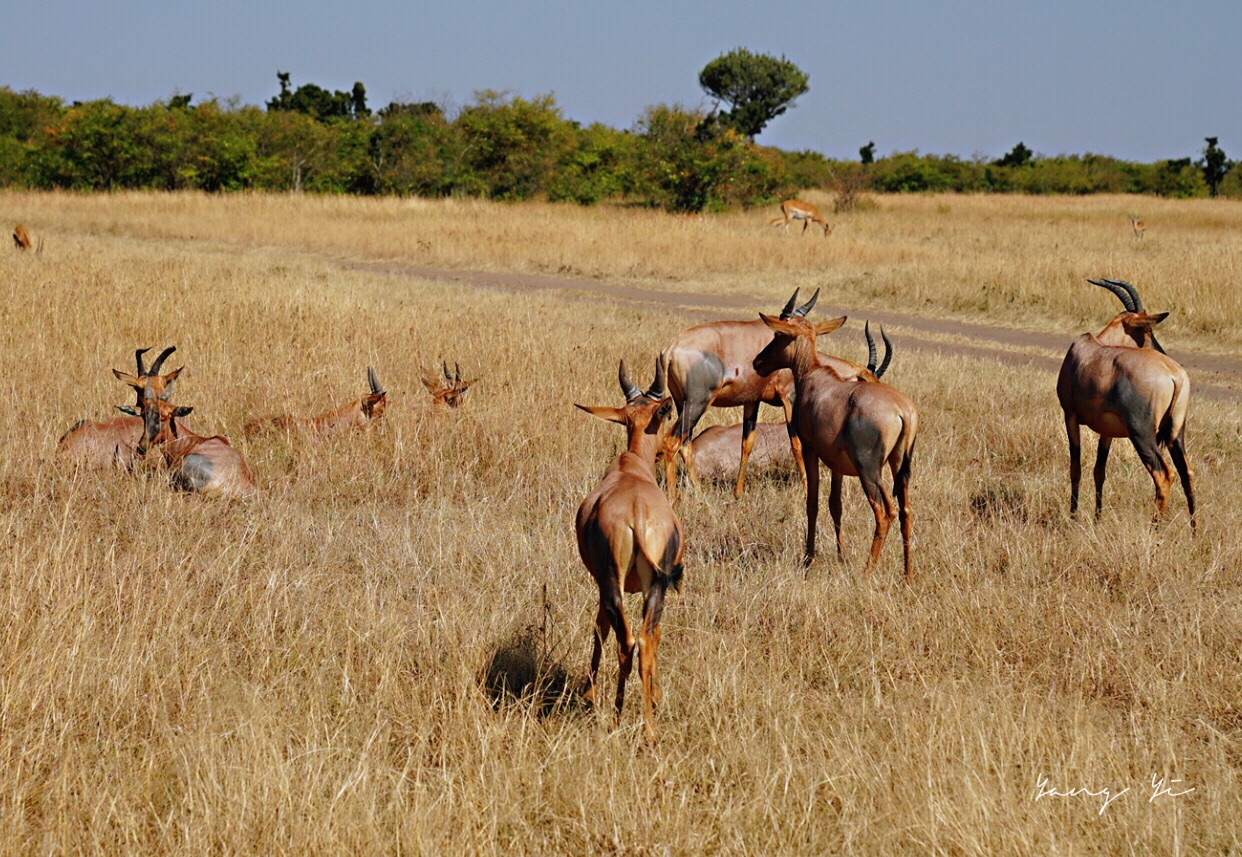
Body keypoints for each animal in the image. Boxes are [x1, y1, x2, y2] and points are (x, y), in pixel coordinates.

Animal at [576, 357, 685, 735]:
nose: (666, 448)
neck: (631, 469)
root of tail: (637, 514)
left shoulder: (602, 585)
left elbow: (599, 629)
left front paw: (589, 694)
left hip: (616, 584)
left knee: (629, 640)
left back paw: (619, 714)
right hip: (654, 586)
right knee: (644, 641)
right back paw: (646, 729)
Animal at [750, 290, 919, 576]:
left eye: (779, 334)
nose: (757, 362)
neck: (816, 378)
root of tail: (903, 410)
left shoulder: (810, 449)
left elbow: (813, 501)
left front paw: (808, 558)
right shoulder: (837, 464)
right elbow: (835, 505)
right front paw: (840, 555)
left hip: (869, 469)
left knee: (884, 512)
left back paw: (867, 571)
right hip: (899, 465)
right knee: (905, 510)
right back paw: (908, 574)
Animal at [1058, 276, 1192, 524]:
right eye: (1146, 328)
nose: (1161, 350)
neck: (1088, 348)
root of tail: (1174, 375)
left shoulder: (1069, 415)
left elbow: (1076, 467)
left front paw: (1073, 518)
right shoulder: (1107, 431)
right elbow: (1099, 471)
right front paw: (1097, 519)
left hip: (1141, 434)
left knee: (1164, 475)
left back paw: (1155, 528)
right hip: (1176, 432)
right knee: (1187, 472)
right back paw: (1194, 530)